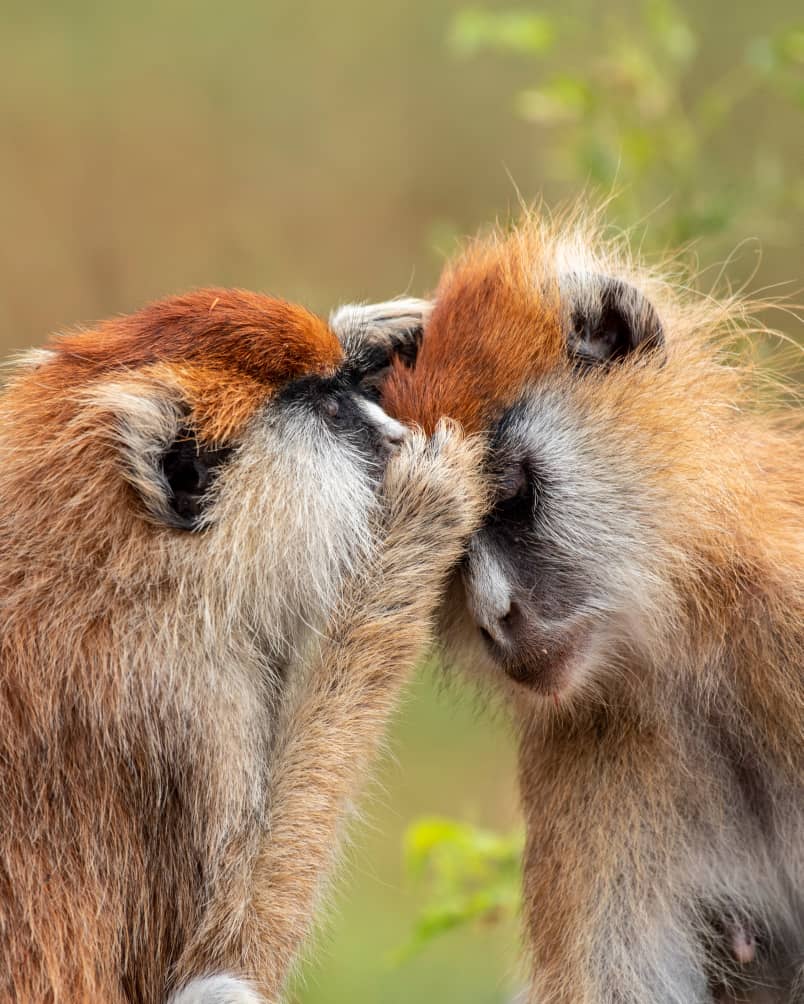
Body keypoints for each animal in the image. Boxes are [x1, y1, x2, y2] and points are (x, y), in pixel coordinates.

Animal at [0, 288, 485, 1004]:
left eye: (349, 390)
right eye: (336, 414)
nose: (396, 435)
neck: (106, 566)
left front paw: (377, 334)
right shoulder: (183, 706)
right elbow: (235, 947)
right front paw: (417, 523)